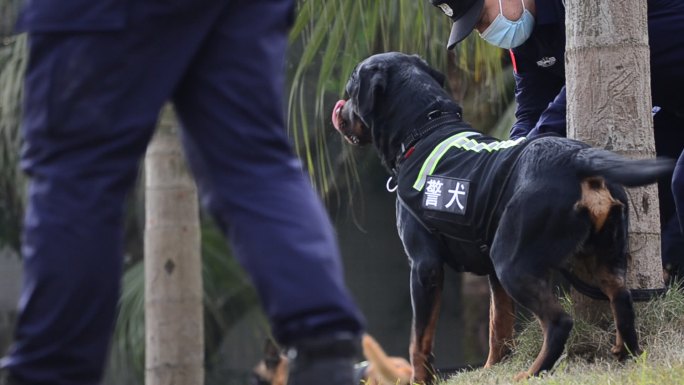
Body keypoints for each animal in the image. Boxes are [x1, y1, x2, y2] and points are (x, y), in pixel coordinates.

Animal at [332, 52, 672, 382]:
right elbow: (499, 324)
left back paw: (533, 372)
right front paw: (492, 369)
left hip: (512, 261)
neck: (425, 128)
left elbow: (419, 339)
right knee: (622, 299)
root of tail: (578, 158)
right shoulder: (491, 274)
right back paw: (625, 353)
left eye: (350, 88)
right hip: (603, 256)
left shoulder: (424, 265)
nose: (339, 110)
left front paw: (420, 379)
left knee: (559, 321)